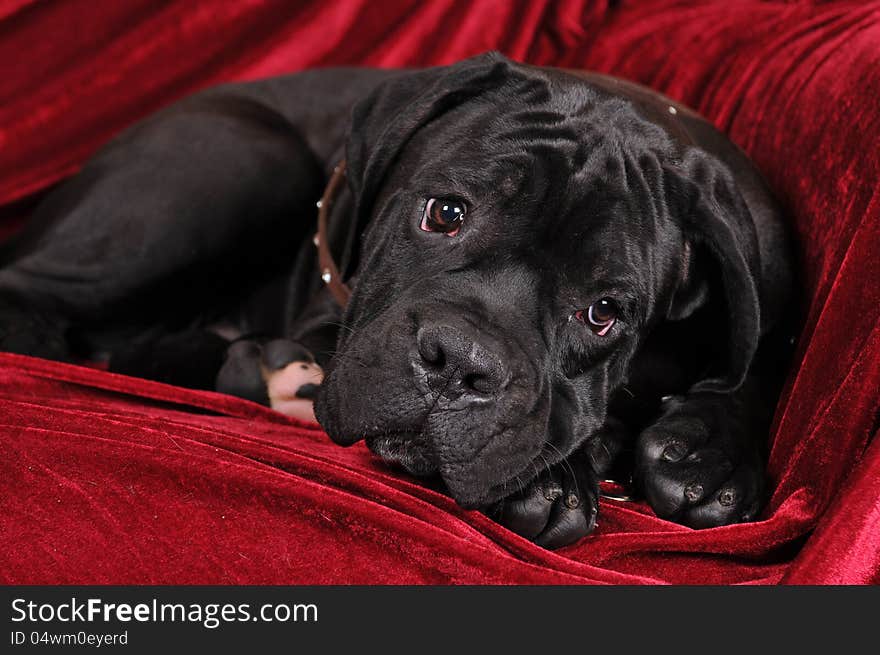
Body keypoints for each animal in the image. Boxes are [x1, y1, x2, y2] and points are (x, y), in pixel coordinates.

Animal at [0, 55, 796, 548]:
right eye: (444, 213)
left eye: (603, 311)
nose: (459, 366)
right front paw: (560, 479)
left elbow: (757, 367)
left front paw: (708, 457)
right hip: (245, 164)